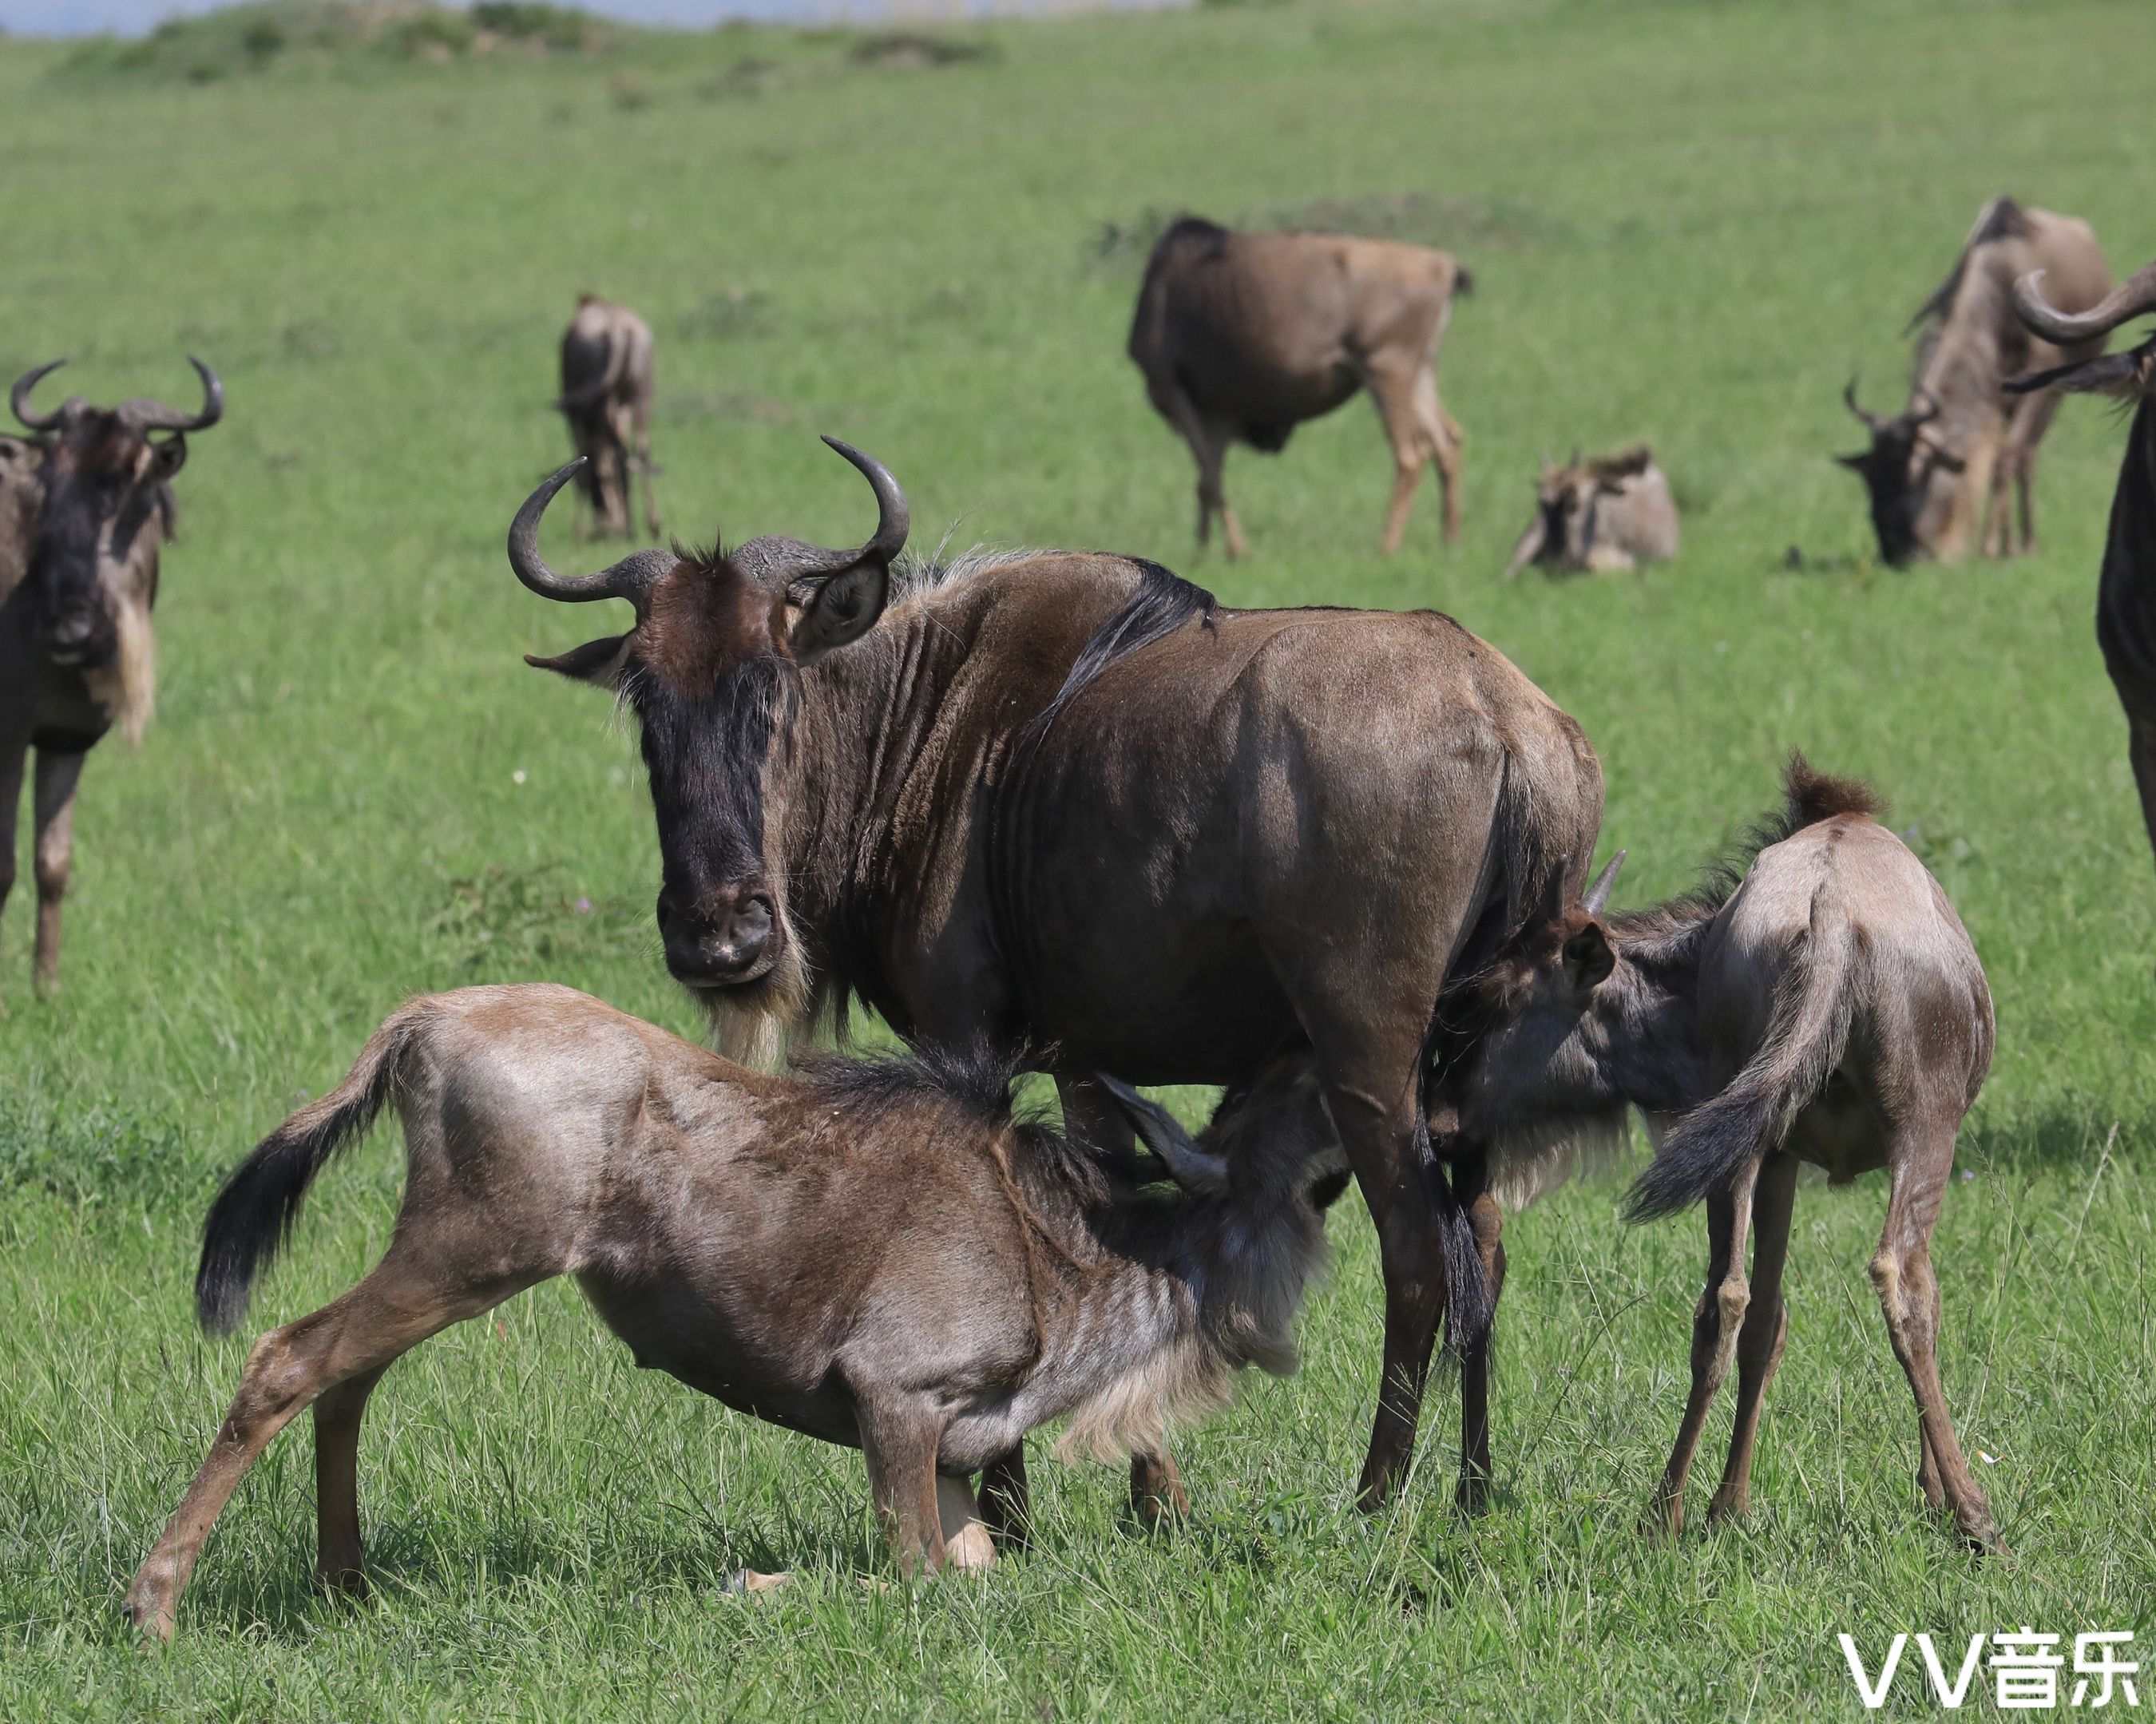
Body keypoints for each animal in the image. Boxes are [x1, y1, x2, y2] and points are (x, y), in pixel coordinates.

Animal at [122, 991, 1345, 1638]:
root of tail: (426, 1021)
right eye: (1306, 1156)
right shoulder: (895, 1396)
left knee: (345, 1379)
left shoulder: (954, 1447)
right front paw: (750, 1582)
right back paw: (158, 1604)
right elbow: (910, 1573)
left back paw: (346, 1585)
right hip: (475, 1250)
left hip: (441, 1256)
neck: (1071, 1252)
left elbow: (970, 1572)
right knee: (287, 1357)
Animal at [1431, 763, 2000, 1552]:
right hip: (1925, 1125)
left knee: (1725, 1299)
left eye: (1497, 996)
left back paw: (1678, 1505)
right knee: (1901, 1278)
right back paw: (1977, 1517)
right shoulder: (1797, 1153)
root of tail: (1831, 920)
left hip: (1754, 1137)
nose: (1438, 1119)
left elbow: (1764, 1317)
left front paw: (1731, 1499)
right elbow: (1875, 1305)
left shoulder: (1774, 1149)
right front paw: (1937, 1489)